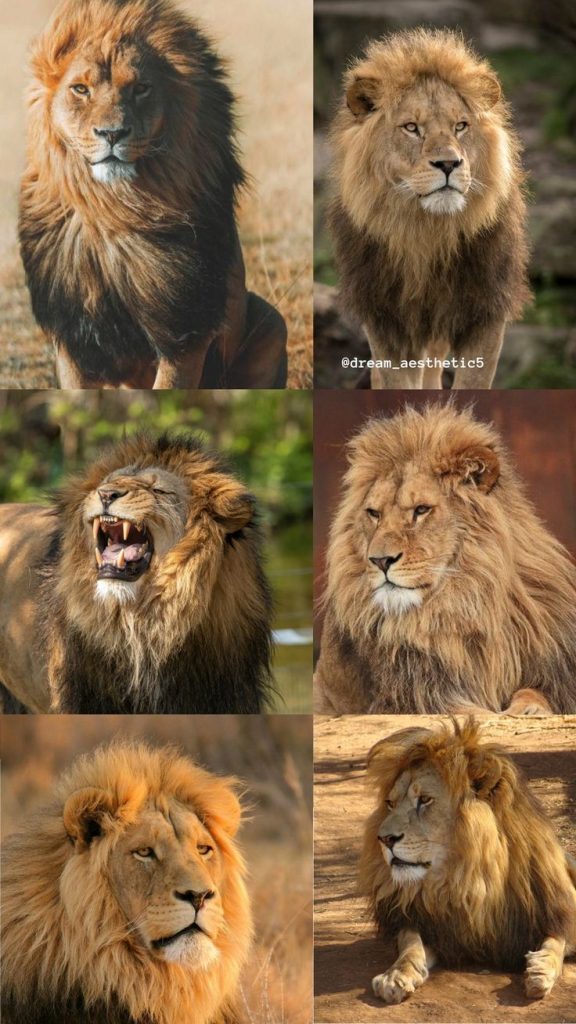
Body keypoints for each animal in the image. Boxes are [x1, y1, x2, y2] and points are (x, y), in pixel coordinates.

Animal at [19, 0, 287, 389]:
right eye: (80, 89)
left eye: (141, 88)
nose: (112, 133)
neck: (114, 209)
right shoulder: (71, 334)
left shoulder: (186, 330)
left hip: (272, 321)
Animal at [314, 403, 576, 715]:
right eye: (374, 513)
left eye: (421, 510)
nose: (379, 560)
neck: (465, 602)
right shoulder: (418, 696)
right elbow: (473, 713)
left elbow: (536, 691)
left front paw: (528, 709)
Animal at [328, 29, 530, 389]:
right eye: (411, 128)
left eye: (461, 126)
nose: (449, 163)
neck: (427, 232)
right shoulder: (386, 321)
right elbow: (394, 383)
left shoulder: (485, 314)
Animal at [359, 719, 576, 1003]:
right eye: (390, 803)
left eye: (425, 800)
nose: (383, 839)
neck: (467, 878)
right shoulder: (438, 930)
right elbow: (410, 944)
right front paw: (396, 975)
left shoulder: (553, 911)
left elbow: (556, 939)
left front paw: (540, 971)